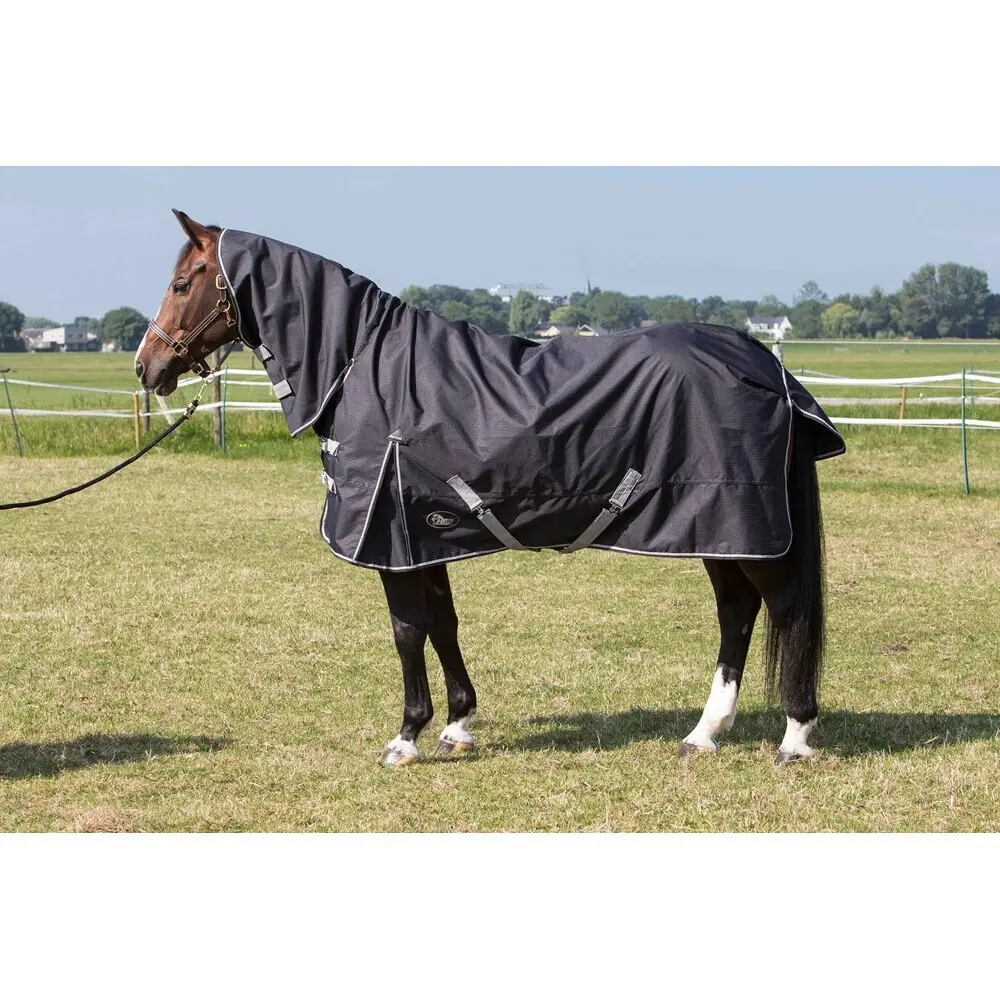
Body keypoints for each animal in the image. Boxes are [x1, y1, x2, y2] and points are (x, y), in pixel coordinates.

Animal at [135, 209, 845, 767]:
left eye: (180, 284)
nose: (148, 366)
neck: (363, 365)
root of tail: (769, 367)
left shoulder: (390, 540)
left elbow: (406, 630)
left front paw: (406, 738)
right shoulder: (425, 536)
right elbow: (442, 623)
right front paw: (457, 725)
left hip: (746, 527)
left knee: (784, 610)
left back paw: (795, 737)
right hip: (720, 531)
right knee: (737, 613)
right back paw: (704, 734)